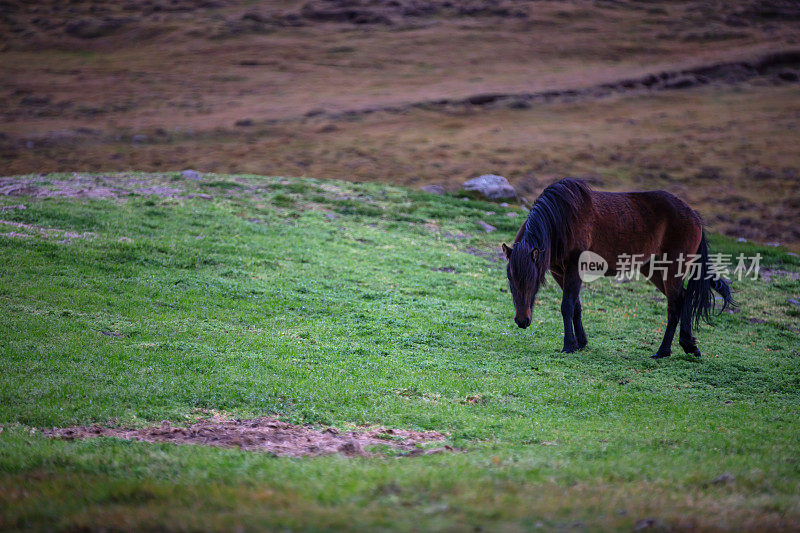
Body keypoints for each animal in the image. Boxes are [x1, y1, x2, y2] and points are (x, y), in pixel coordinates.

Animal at [504, 178, 736, 358]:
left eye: (533, 281)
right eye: (511, 280)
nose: (522, 321)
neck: (562, 220)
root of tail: (694, 215)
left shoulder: (573, 269)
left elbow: (567, 306)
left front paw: (568, 345)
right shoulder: (559, 272)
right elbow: (576, 306)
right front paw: (581, 343)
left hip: (673, 268)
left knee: (675, 305)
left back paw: (663, 351)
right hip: (654, 270)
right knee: (684, 298)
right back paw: (687, 345)